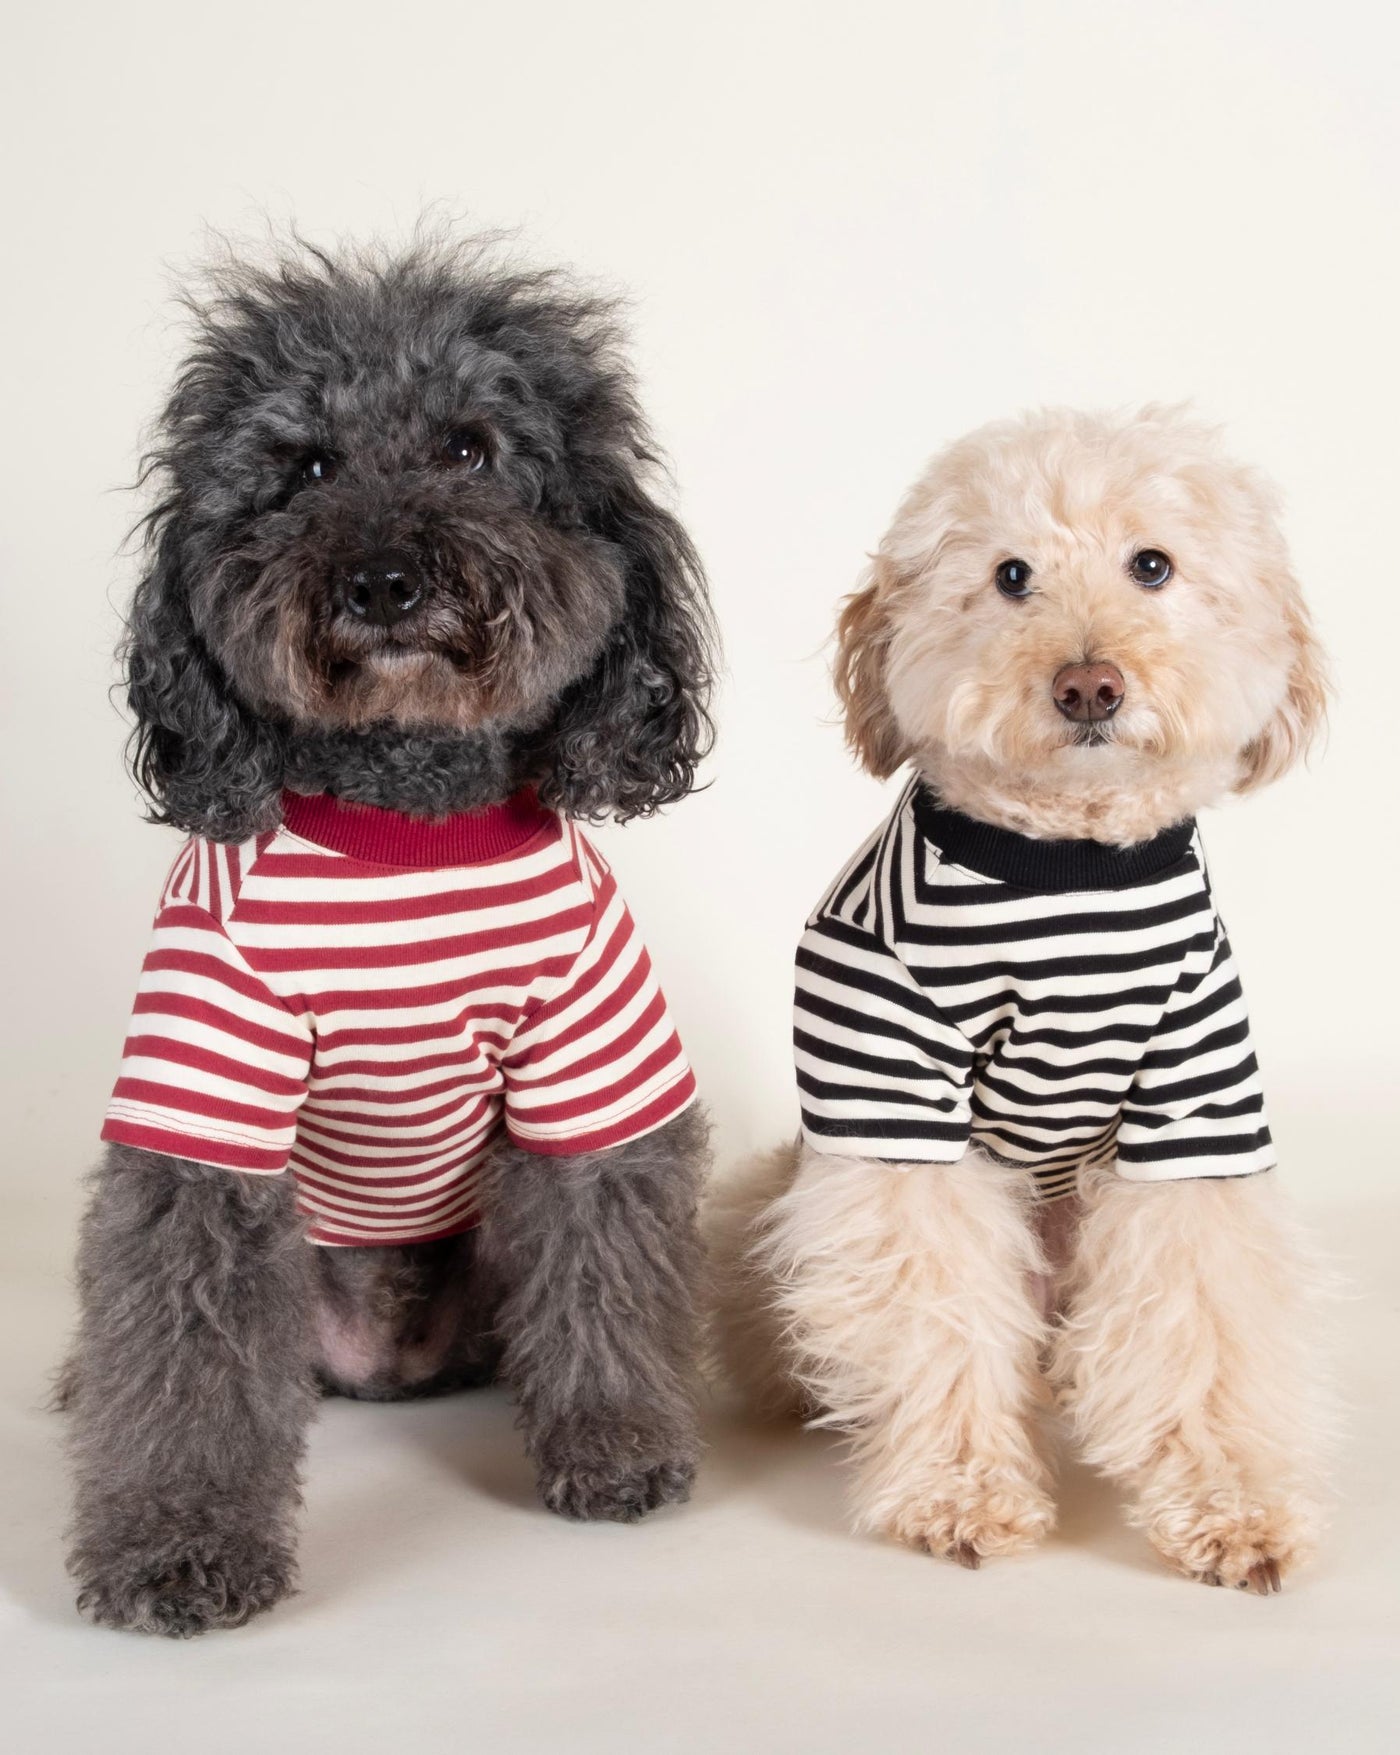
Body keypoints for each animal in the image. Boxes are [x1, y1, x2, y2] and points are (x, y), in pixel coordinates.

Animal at [722, 407, 1340, 1593]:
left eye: (1151, 565)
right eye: (1011, 576)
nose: (1088, 685)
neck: (1067, 865)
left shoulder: (1193, 1106)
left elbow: (1199, 1314)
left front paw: (1230, 1506)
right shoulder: (893, 1110)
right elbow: (936, 1309)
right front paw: (961, 1492)